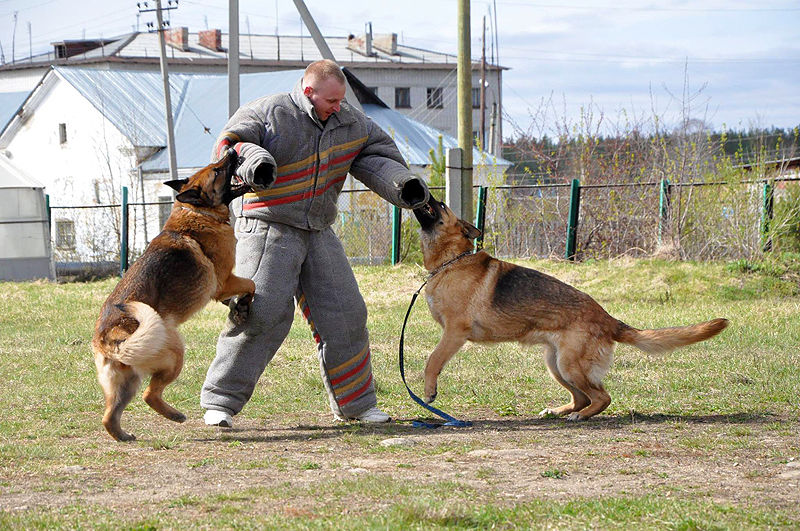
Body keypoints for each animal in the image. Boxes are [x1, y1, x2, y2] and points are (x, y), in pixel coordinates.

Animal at [93, 150, 256, 440]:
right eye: (217, 171)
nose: (232, 151)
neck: (198, 212)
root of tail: (107, 339)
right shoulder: (225, 280)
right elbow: (251, 284)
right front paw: (244, 305)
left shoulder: (223, 287)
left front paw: (235, 307)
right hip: (175, 353)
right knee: (149, 395)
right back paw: (176, 416)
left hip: (126, 383)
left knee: (109, 417)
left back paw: (125, 435)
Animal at [412, 197, 732, 422]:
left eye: (442, 206)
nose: (426, 194)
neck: (451, 262)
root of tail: (608, 319)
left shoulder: (454, 333)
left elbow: (432, 360)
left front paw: (429, 392)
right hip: (555, 365)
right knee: (584, 398)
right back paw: (558, 411)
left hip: (568, 365)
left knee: (601, 398)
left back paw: (578, 416)